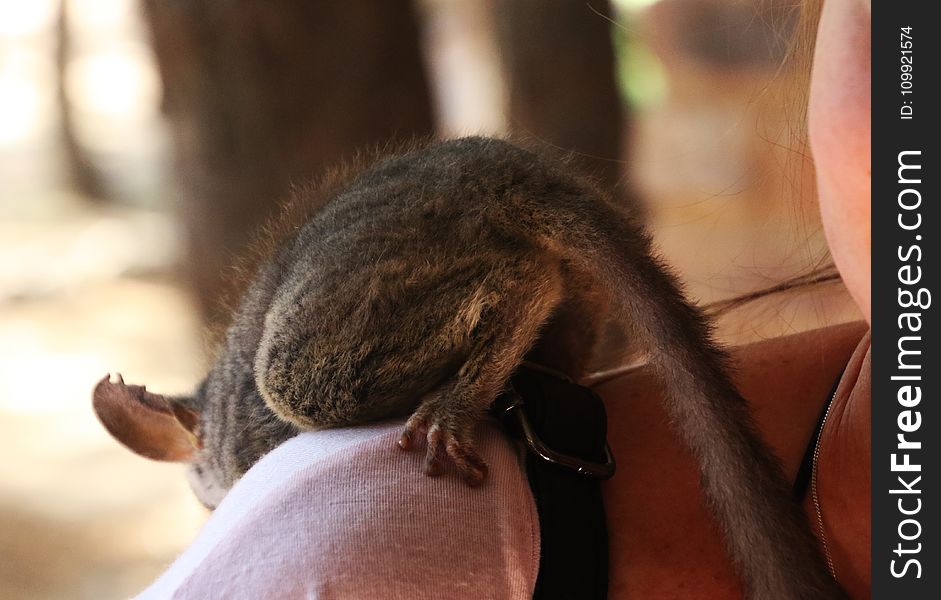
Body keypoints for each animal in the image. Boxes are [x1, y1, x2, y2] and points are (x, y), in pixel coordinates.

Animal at [93, 138, 844, 596]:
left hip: (355, 299)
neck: (217, 413)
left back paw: (456, 402)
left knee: (517, 277)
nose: (210, 511)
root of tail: (496, 171)